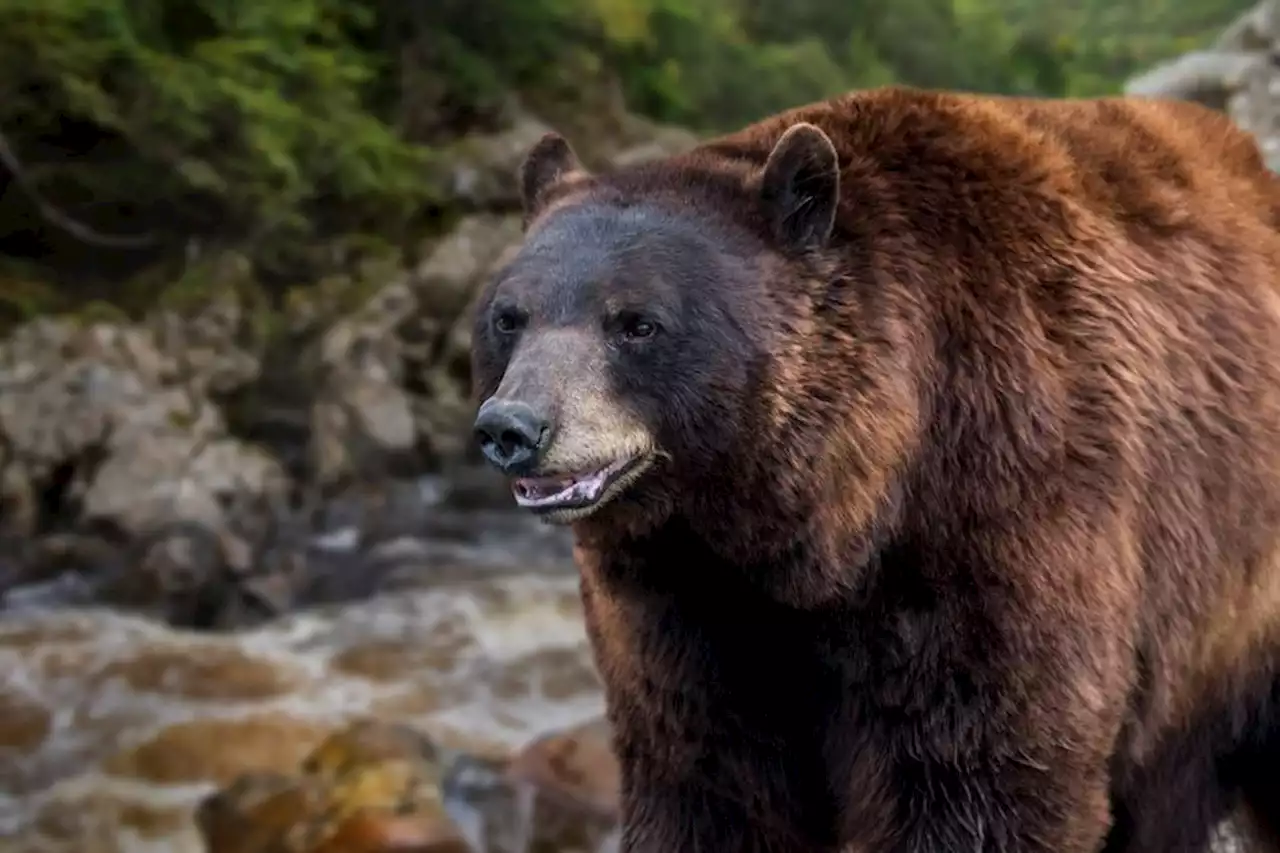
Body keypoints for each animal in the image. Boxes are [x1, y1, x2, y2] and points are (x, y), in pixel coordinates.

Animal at [471, 86, 1280, 850]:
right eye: (509, 316)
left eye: (637, 322)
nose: (513, 427)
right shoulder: (684, 611)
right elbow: (709, 780)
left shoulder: (1002, 505)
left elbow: (984, 775)